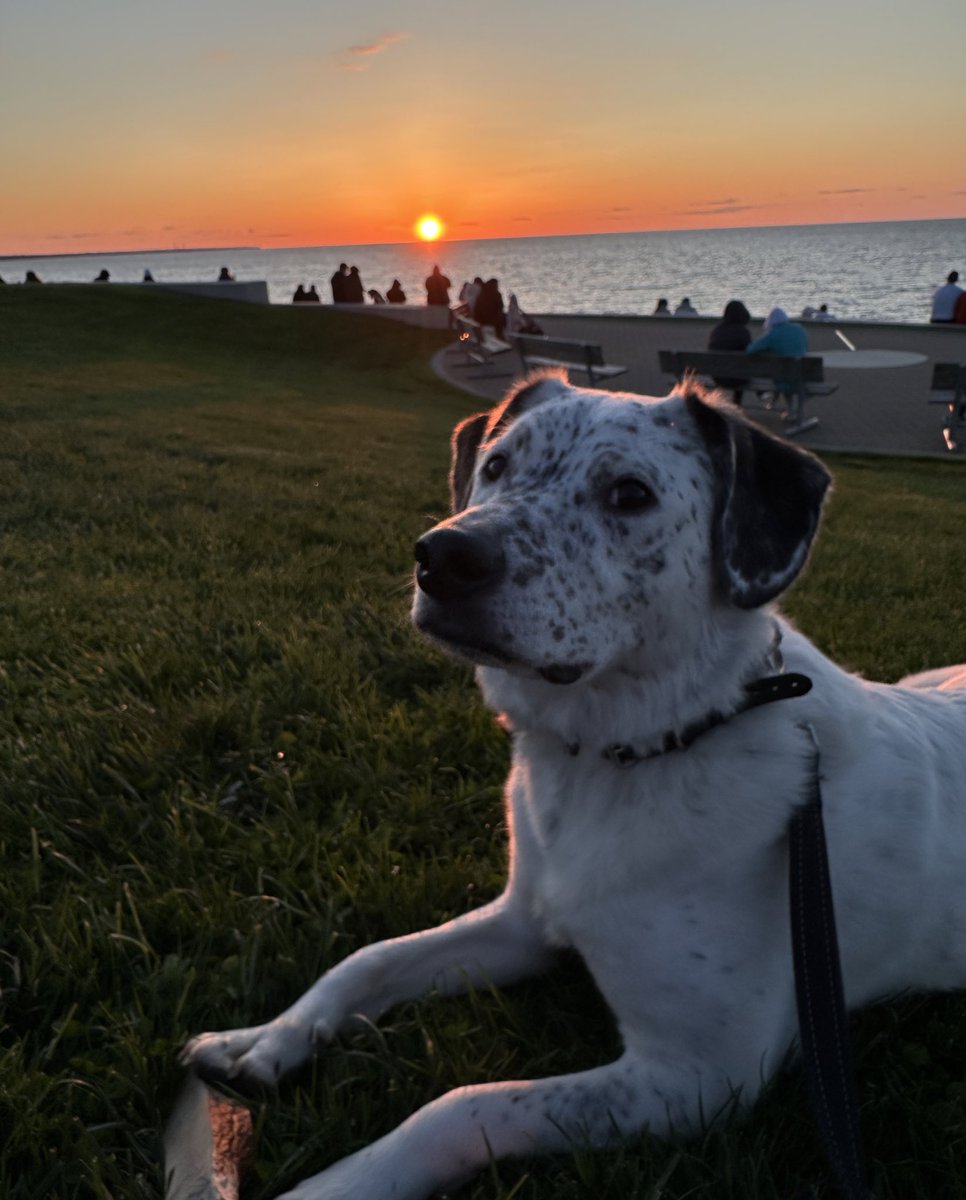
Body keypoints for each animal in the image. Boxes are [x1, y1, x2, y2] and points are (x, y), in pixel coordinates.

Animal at [184, 376, 964, 1200]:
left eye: (630, 493)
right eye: (495, 465)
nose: (442, 556)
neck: (627, 753)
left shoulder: (699, 1075)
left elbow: (462, 1105)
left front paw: (341, 1184)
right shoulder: (524, 922)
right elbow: (369, 958)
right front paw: (266, 1038)